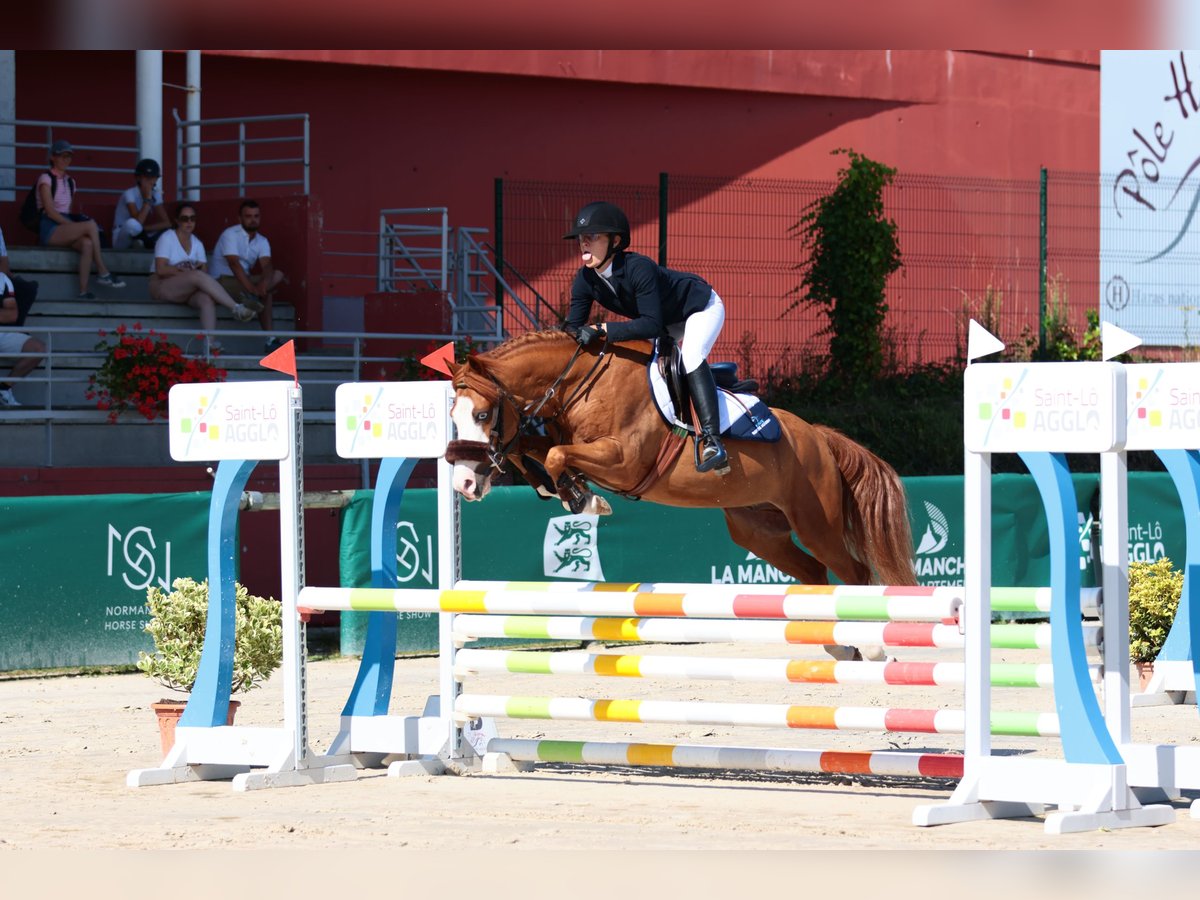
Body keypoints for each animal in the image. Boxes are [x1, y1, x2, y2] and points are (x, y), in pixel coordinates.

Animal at [446, 331, 912, 592]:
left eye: (483, 415)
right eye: (453, 415)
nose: (462, 486)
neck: (581, 384)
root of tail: (818, 436)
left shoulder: (624, 461)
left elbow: (558, 454)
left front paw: (584, 499)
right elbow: (535, 447)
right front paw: (564, 489)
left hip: (816, 522)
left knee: (854, 572)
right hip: (758, 530)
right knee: (814, 572)